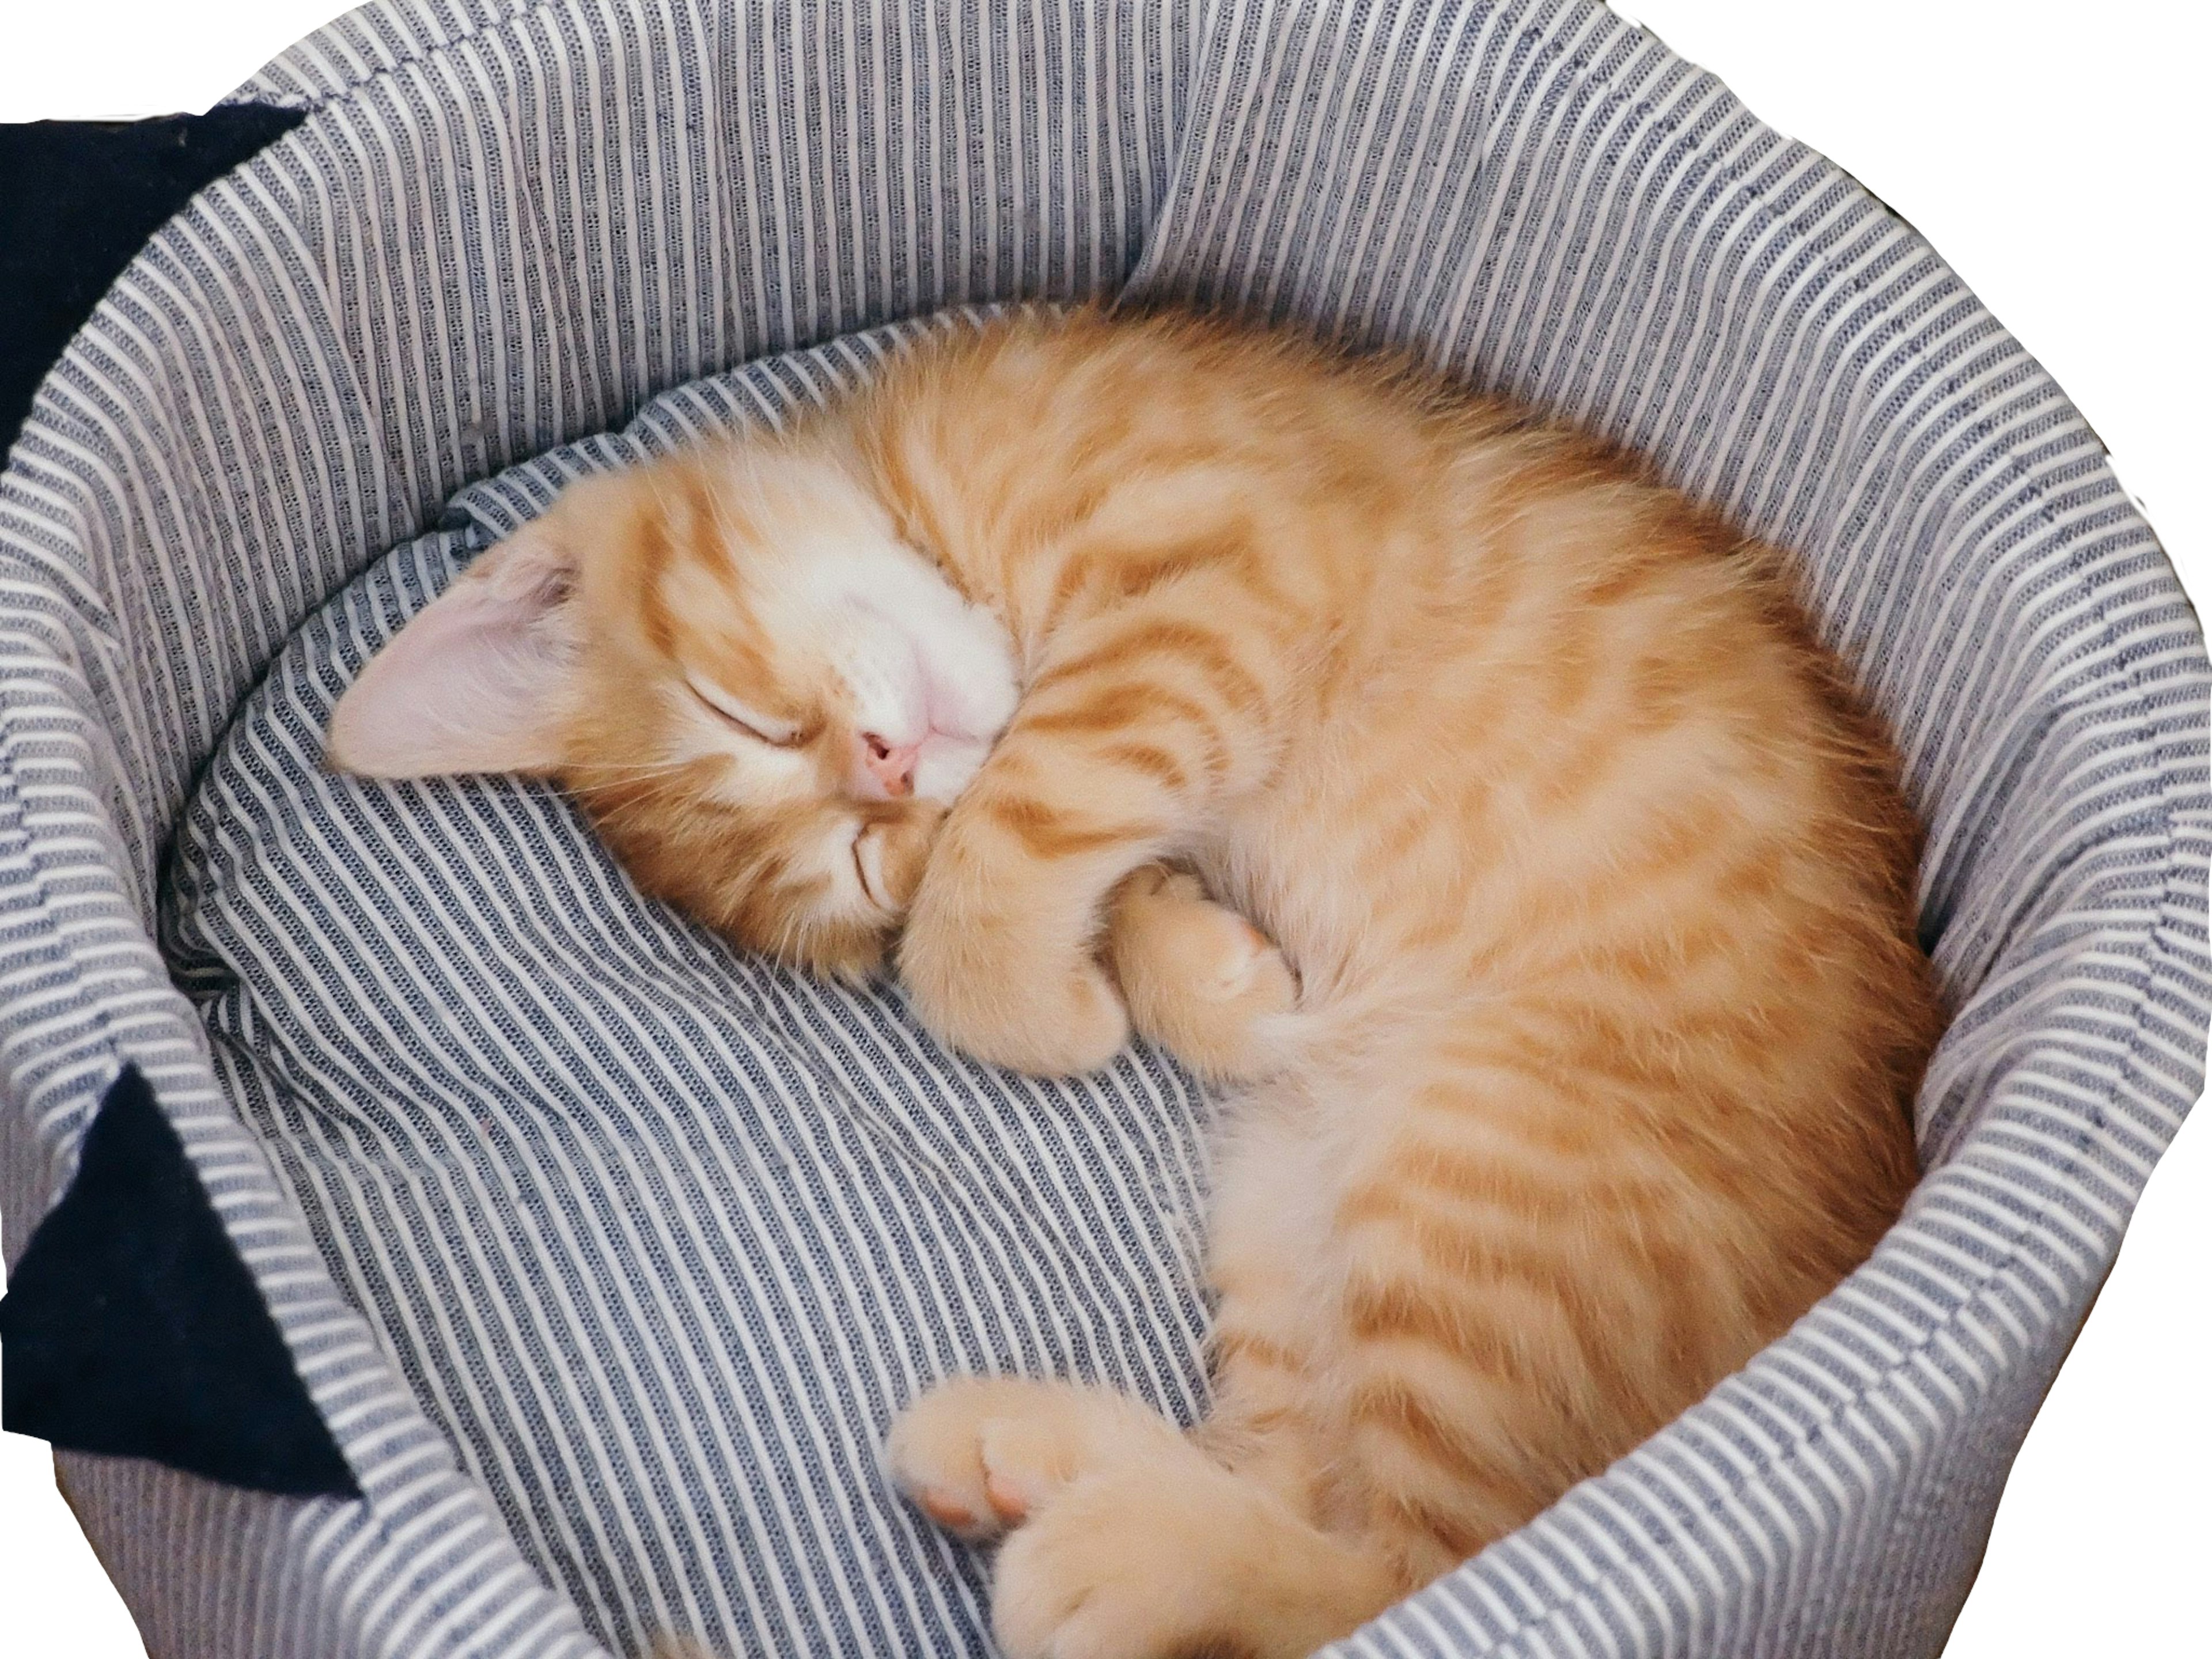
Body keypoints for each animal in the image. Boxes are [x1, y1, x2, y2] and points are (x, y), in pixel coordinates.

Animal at [323, 309, 1937, 1659]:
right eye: (866, 868)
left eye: (745, 718)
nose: (887, 776)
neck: (921, 498)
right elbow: (1056, 855)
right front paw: (1195, 973)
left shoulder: (1217, 585)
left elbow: (1018, 830)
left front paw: (1043, 992)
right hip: (1294, 1193)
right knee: (1341, 1515)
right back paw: (1032, 1462)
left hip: (1481, 1164)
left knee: (1438, 1568)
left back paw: (1096, 1556)